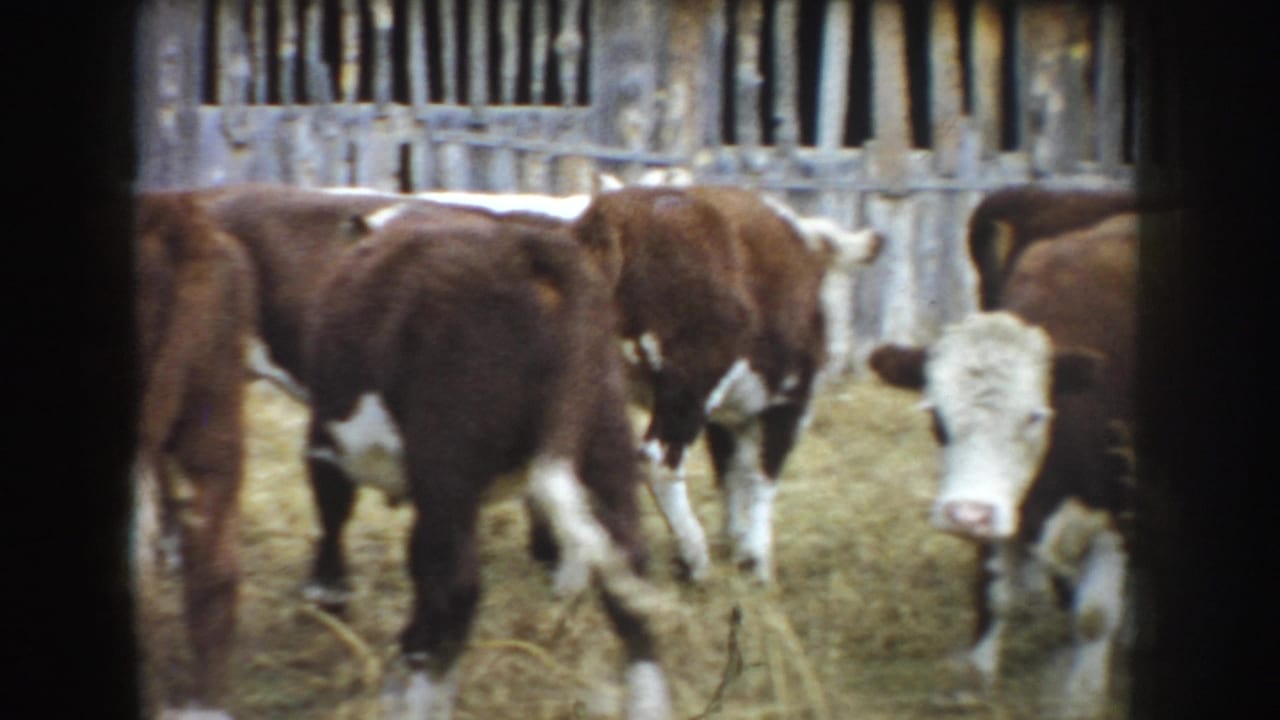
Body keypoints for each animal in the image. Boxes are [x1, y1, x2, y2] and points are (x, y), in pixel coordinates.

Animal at [301, 207, 672, 720]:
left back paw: (422, 685)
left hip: (445, 460)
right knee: (629, 571)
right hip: (605, 442)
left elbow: (335, 513)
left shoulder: (326, 442)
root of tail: (525, 246)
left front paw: (327, 592)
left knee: (459, 585)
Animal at [562, 185, 882, 585]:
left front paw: (736, 539)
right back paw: (694, 559)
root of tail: (612, 218)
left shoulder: (730, 414)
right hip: (688, 388)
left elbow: (733, 472)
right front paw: (757, 561)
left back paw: (575, 575)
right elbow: (762, 476)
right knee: (658, 462)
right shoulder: (787, 402)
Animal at [868, 209, 1140, 718]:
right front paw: (973, 683)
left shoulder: (1122, 511)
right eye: (936, 415)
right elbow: (995, 596)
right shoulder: (1001, 510)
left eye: (1035, 415)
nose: (966, 514)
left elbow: (1094, 617)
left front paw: (1082, 696)